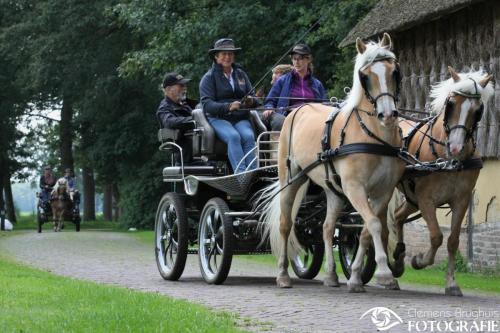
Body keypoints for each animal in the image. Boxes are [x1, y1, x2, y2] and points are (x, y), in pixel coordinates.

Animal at [262, 33, 406, 292]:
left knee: (327, 228)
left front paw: (356, 276)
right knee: (285, 225)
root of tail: (297, 108)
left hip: (333, 191)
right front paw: (384, 273)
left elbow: (366, 230)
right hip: (291, 180)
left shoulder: (383, 192)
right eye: (365, 76)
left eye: (394, 72)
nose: (388, 115)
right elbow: (374, 224)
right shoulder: (355, 188)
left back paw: (330, 275)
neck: (374, 137)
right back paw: (283, 276)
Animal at [390, 66, 492, 294]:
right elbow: (436, 236)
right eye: (451, 104)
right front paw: (419, 260)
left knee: (397, 217)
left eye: (478, 110)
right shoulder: (426, 200)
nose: (455, 147)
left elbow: (453, 240)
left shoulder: (461, 200)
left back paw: (398, 260)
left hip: (411, 198)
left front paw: (452, 283)